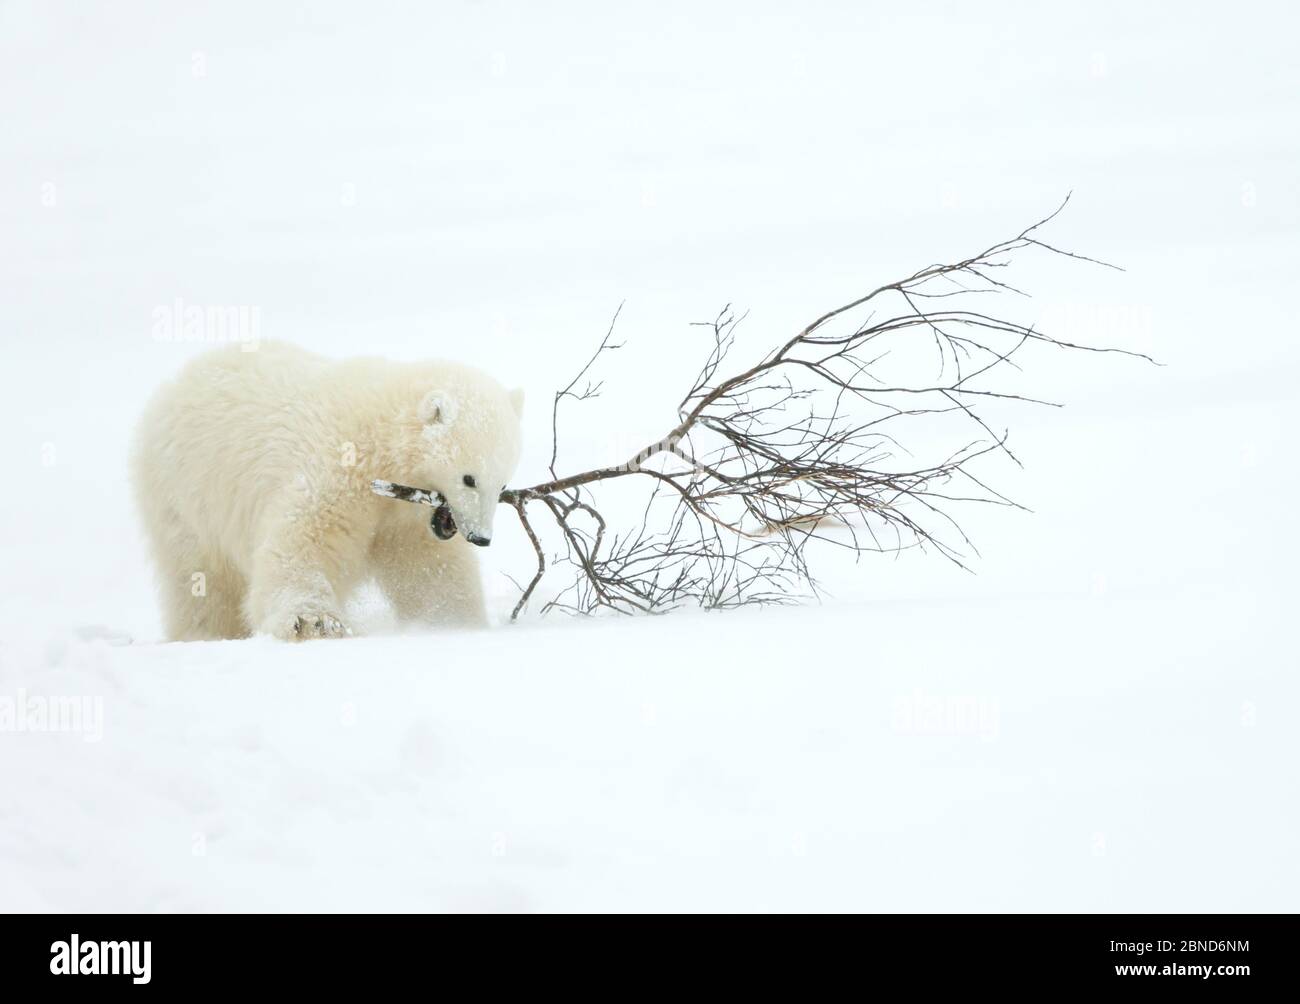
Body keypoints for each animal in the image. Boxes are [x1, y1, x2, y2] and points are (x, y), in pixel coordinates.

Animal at [131, 341, 523, 641]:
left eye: (503, 483)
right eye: (469, 478)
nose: (481, 537)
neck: (380, 438)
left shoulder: (405, 519)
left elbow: (431, 570)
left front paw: (457, 623)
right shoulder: (335, 470)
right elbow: (304, 541)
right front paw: (314, 622)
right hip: (186, 493)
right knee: (202, 580)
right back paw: (205, 633)